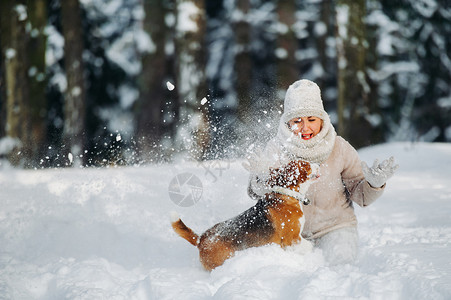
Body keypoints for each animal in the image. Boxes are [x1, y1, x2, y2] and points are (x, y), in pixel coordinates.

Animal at [171, 161, 320, 270]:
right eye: (306, 165)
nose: (318, 164)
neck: (286, 194)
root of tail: (200, 238)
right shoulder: (293, 239)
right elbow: (309, 246)